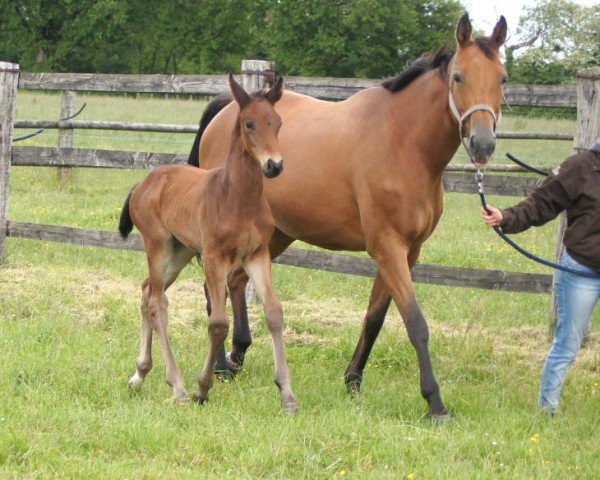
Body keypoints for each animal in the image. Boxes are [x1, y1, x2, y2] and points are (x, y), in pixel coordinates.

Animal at [118, 74, 296, 412]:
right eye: (249, 123)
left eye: (278, 122)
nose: (275, 165)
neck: (237, 198)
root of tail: (143, 183)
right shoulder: (214, 256)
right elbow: (218, 323)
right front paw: (203, 388)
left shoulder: (257, 255)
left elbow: (273, 313)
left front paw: (287, 395)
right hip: (158, 245)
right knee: (158, 302)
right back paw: (178, 387)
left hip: (180, 252)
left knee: (147, 291)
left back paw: (139, 374)